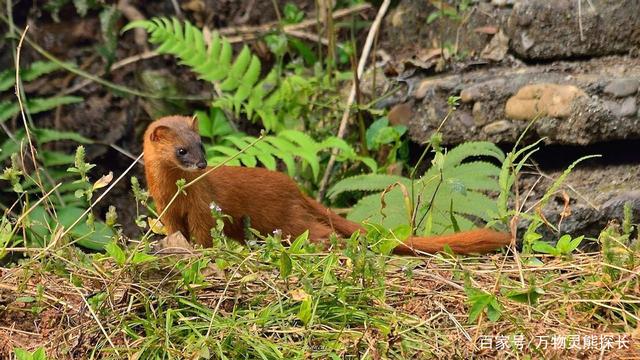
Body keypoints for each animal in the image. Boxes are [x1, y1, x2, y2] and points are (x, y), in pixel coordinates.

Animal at [144, 116, 510, 255]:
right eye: (181, 150)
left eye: (201, 145)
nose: (201, 164)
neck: (174, 193)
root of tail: (295, 188)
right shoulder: (166, 210)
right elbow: (175, 230)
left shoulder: (202, 205)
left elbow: (203, 232)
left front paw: (200, 250)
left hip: (285, 219)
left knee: (321, 231)